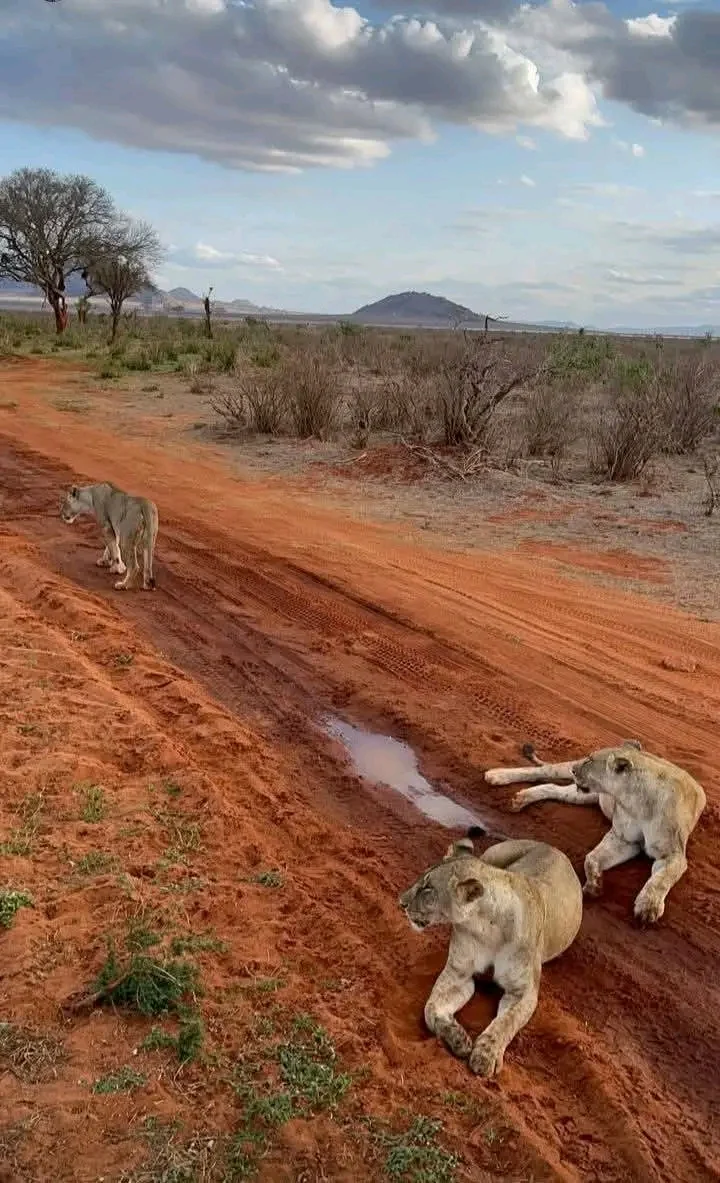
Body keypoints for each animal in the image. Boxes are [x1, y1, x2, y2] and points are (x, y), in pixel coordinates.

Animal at [398, 829, 583, 1078]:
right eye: (421, 879)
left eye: (428, 889)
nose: (401, 902)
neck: (484, 927)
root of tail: (552, 846)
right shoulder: (458, 974)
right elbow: (431, 1008)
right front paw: (458, 1039)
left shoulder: (523, 992)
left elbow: (506, 1023)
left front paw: (485, 1057)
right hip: (492, 854)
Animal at [485, 741, 706, 924]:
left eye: (591, 760)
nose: (575, 769)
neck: (634, 801)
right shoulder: (622, 839)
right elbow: (591, 858)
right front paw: (595, 885)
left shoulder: (671, 853)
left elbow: (661, 879)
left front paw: (647, 907)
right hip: (572, 781)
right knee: (544, 771)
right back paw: (496, 776)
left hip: (581, 795)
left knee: (552, 787)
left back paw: (521, 799)